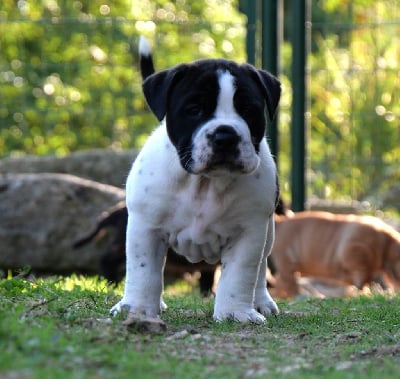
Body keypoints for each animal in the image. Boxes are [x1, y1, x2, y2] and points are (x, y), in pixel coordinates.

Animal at [110, 36, 282, 324]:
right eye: (194, 109)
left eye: (248, 109)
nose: (225, 135)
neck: (205, 184)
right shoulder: (146, 228)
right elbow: (143, 272)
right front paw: (138, 309)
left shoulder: (249, 232)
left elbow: (240, 275)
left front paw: (235, 312)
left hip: (267, 234)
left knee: (260, 270)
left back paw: (260, 303)